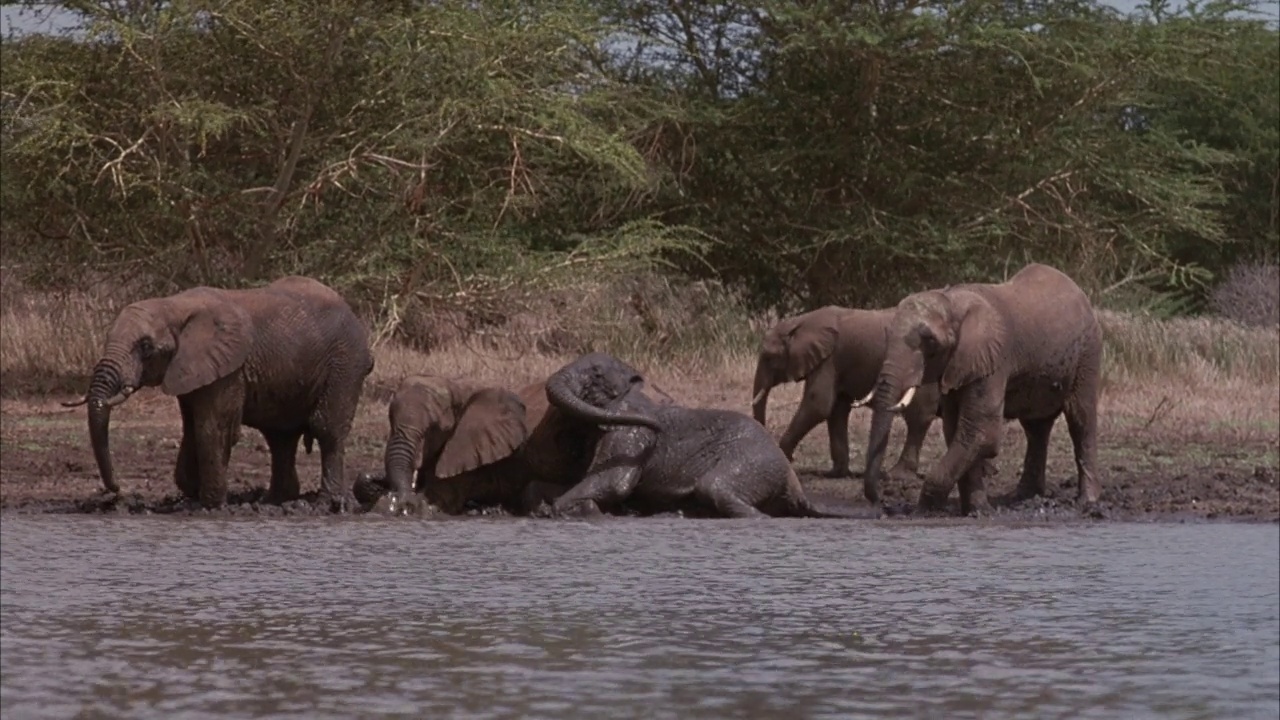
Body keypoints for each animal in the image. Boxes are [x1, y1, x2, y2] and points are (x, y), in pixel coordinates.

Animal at [62, 271, 373, 507]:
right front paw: (192, 492)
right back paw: (274, 501)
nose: (115, 490)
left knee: (326, 429)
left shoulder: (228, 368)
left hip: (345, 363)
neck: (174, 305)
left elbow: (213, 426)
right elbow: (191, 427)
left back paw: (327, 503)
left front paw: (211, 504)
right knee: (279, 438)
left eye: (146, 347)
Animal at [540, 351, 870, 515]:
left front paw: (550, 509)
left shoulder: (629, 432)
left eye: (595, 375)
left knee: (716, 488)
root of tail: (797, 487)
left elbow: (613, 482)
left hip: (753, 463)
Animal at [747, 302, 942, 481]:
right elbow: (836, 410)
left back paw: (897, 475)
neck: (798, 323)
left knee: (918, 417)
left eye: (769, 358)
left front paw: (784, 458)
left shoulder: (829, 360)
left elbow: (818, 405)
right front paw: (835, 474)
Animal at [865, 260, 1105, 512]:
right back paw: (1023, 496)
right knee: (1036, 427)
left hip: (1088, 353)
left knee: (1080, 420)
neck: (952, 303)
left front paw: (926, 509)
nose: (880, 500)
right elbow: (957, 431)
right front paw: (976, 509)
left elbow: (982, 431)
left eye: (930, 340)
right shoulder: (959, 366)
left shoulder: (992, 360)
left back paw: (1087, 500)